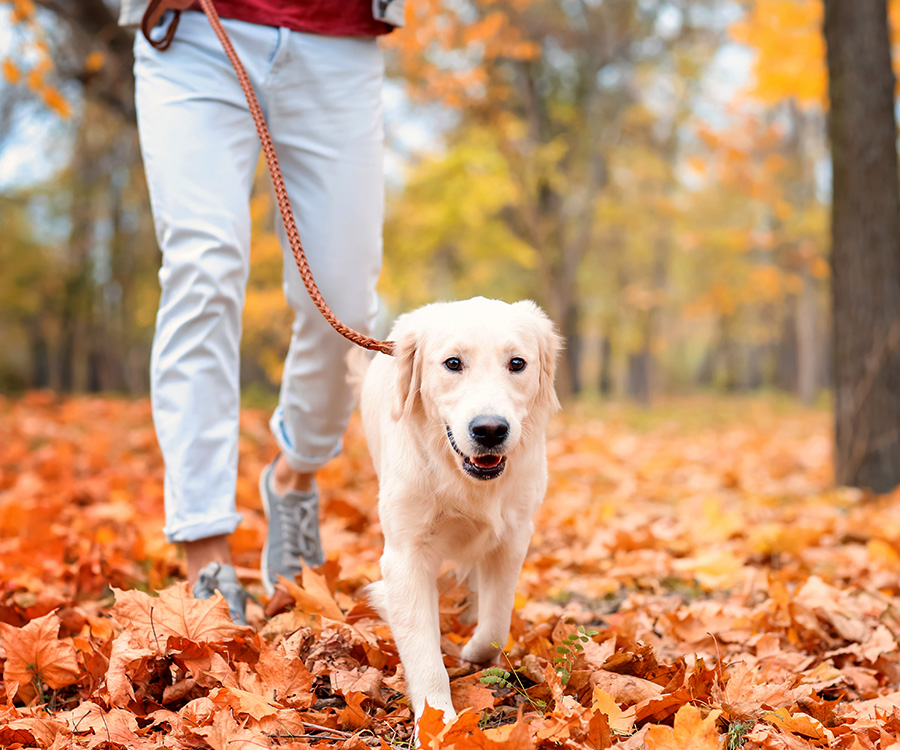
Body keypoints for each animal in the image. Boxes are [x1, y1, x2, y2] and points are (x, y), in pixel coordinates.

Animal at [360, 296, 564, 724]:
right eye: (453, 363)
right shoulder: (406, 555)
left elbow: (496, 624)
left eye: (517, 363)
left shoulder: (513, 537)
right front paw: (438, 723)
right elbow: (424, 653)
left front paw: (475, 653)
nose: (489, 430)